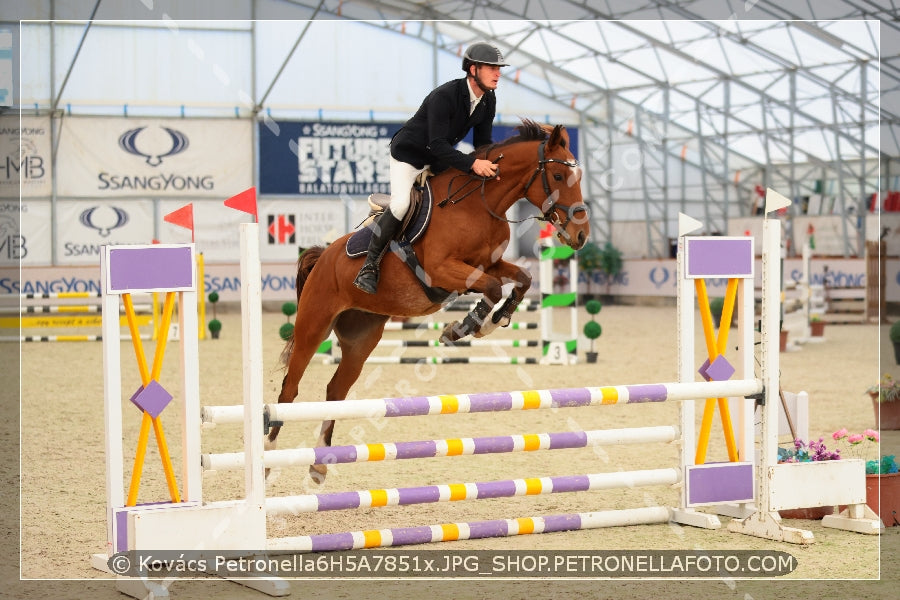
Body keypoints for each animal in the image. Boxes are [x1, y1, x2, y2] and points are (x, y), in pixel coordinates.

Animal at [268, 118, 592, 482]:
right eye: (559, 176)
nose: (581, 235)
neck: (480, 204)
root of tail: (323, 256)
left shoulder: (488, 264)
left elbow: (521, 279)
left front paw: (492, 322)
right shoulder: (443, 270)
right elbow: (494, 288)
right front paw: (465, 327)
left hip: (361, 337)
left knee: (336, 391)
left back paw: (319, 464)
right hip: (314, 326)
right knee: (289, 388)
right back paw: (268, 458)